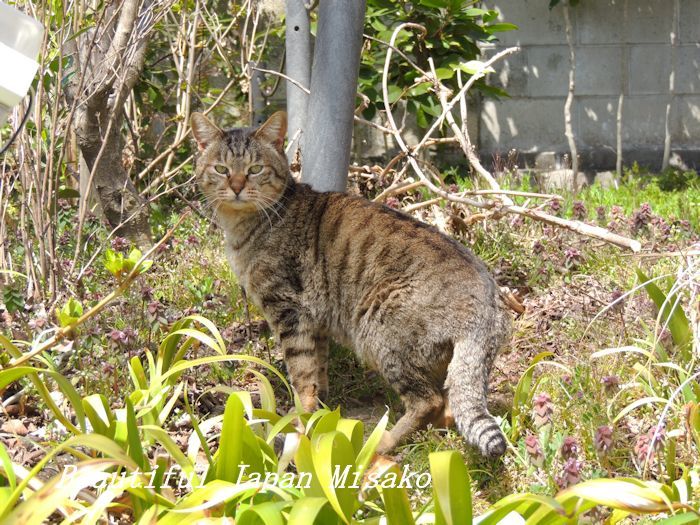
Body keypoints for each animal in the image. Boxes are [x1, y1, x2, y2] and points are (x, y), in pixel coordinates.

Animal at [191, 111, 516, 458]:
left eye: (255, 169)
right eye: (221, 169)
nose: (237, 186)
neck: (246, 227)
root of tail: (489, 303)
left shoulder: (289, 310)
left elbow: (301, 372)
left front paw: (298, 420)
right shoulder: (314, 321)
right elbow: (317, 369)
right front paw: (318, 412)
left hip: (379, 330)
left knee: (428, 401)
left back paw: (382, 442)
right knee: (449, 404)